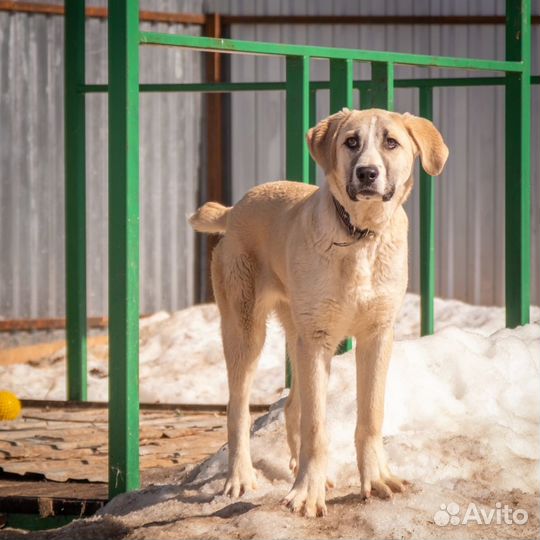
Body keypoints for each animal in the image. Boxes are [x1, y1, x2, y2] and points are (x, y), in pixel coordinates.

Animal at [190, 107, 448, 516]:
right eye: (351, 142)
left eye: (391, 142)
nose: (367, 173)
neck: (360, 237)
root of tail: (235, 209)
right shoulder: (318, 339)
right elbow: (316, 426)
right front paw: (307, 492)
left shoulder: (376, 335)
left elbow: (370, 415)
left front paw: (376, 479)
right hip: (247, 331)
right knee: (238, 408)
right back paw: (240, 477)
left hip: (296, 332)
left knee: (292, 405)